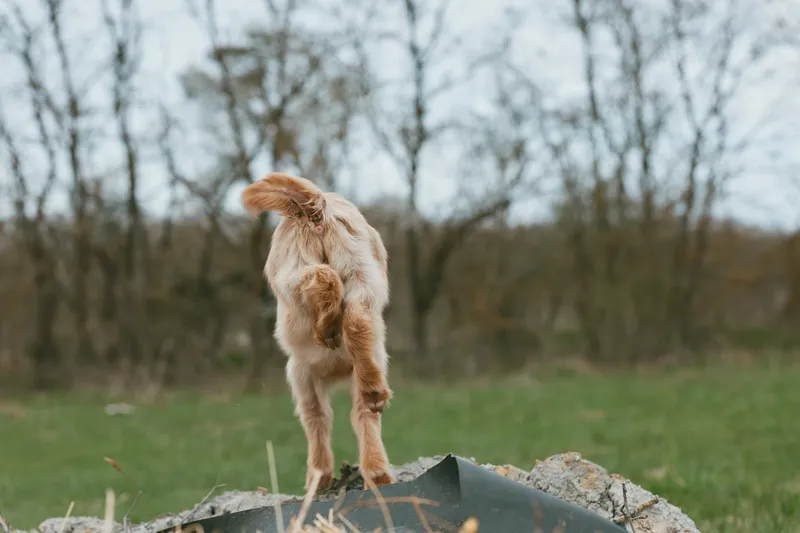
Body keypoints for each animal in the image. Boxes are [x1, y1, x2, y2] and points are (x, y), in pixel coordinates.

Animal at [241, 172, 393, 491]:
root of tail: (318, 207)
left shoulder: (302, 377)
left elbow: (316, 418)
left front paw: (318, 476)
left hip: (294, 269)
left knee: (323, 278)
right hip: (360, 269)